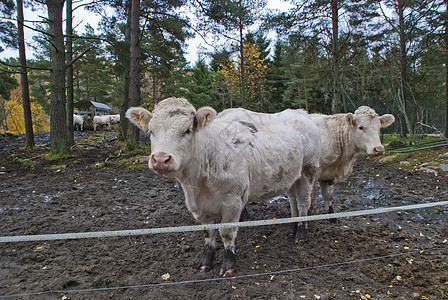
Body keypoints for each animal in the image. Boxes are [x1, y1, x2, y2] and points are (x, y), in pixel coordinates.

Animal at [126, 96, 322, 276]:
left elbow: (226, 233)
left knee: (303, 202)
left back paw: (301, 233)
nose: (160, 159)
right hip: (292, 177)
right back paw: (292, 227)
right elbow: (208, 233)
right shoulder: (201, 207)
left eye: (187, 130)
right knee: (293, 201)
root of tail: (301, 113)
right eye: (151, 131)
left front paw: (228, 264)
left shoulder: (233, 201)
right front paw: (206, 261)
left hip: (308, 170)